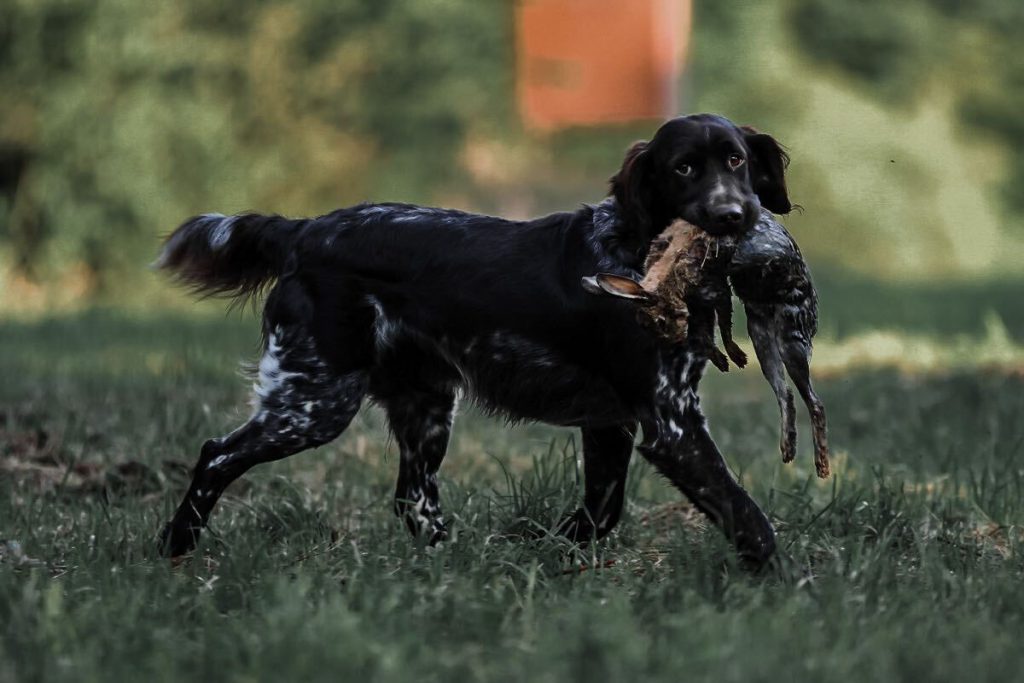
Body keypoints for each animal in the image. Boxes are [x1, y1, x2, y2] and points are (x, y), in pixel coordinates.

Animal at [153, 116, 790, 565]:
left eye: (735, 160)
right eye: (684, 169)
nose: (734, 215)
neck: (639, 251)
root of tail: (302, 230)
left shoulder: (612, 422)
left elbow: (601, 510)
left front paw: (553, 552)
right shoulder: (670, 422)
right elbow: (746, 514)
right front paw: (780, 585)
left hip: (426, 406)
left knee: (413, 498)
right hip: (314, 403)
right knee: (216, 455)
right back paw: (174, 548)